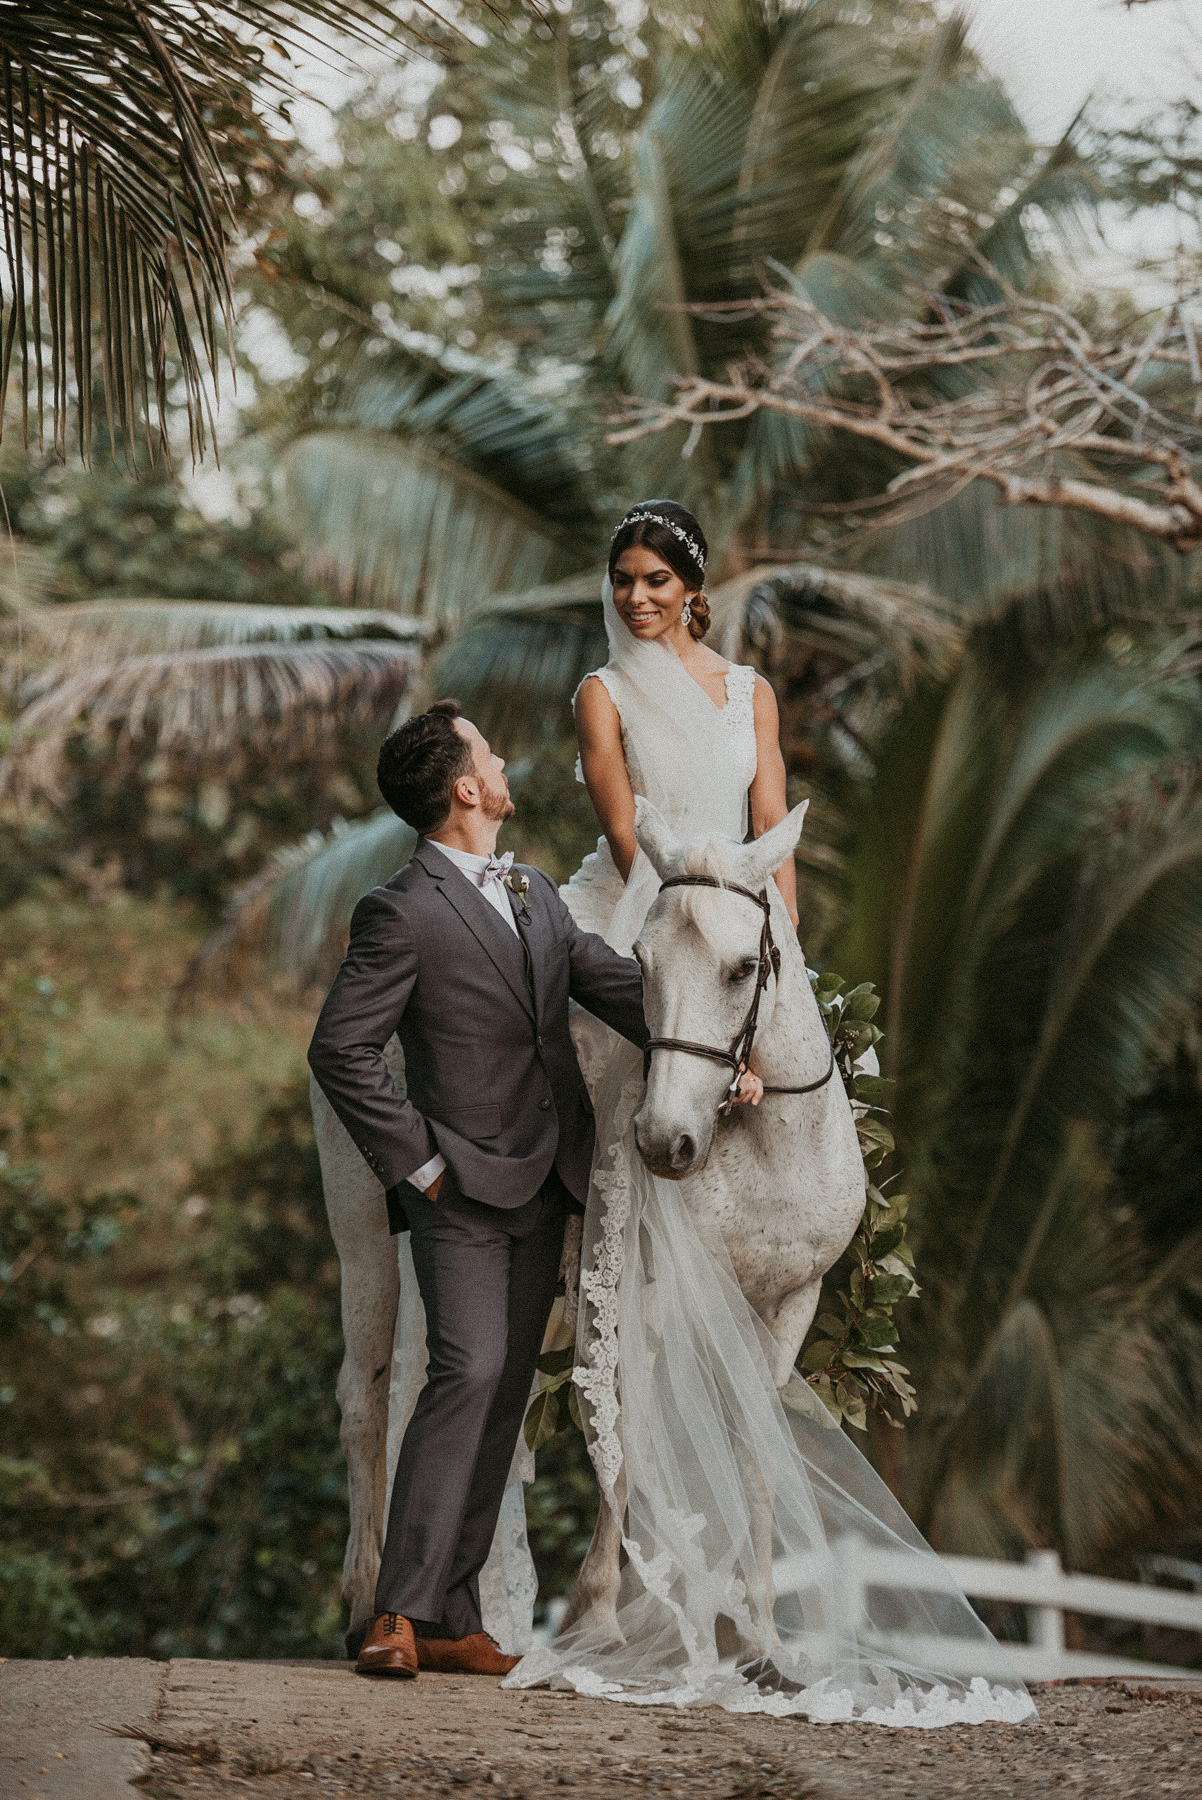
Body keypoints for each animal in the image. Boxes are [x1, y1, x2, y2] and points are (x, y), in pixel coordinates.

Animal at [565, 810, 863, 1641]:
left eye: (741, 969)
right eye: (640, 963)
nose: (663, 1142)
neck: (772, 1150)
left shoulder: (789, 1304)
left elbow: (753, 1446)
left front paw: (756, 1626)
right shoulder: (658, 1296)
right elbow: (631, 1437)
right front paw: (601, 1611)